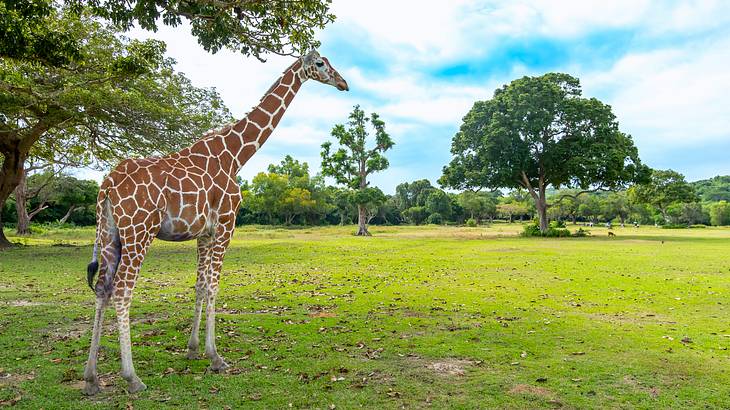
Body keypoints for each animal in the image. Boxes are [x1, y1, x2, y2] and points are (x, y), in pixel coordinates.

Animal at [81, 49, 348, 396]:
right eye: (320, 64)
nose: (343, 83)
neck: (234, 155)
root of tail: (107, 185)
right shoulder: (226, 224)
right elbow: (213, 286)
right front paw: (216, 357)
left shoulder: (203, 233)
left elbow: (198, 285)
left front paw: (193, 349)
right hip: (139, 231)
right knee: (123, 290)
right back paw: (132, 377)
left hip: (109, 233)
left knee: (102, 288)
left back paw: (91, 378)